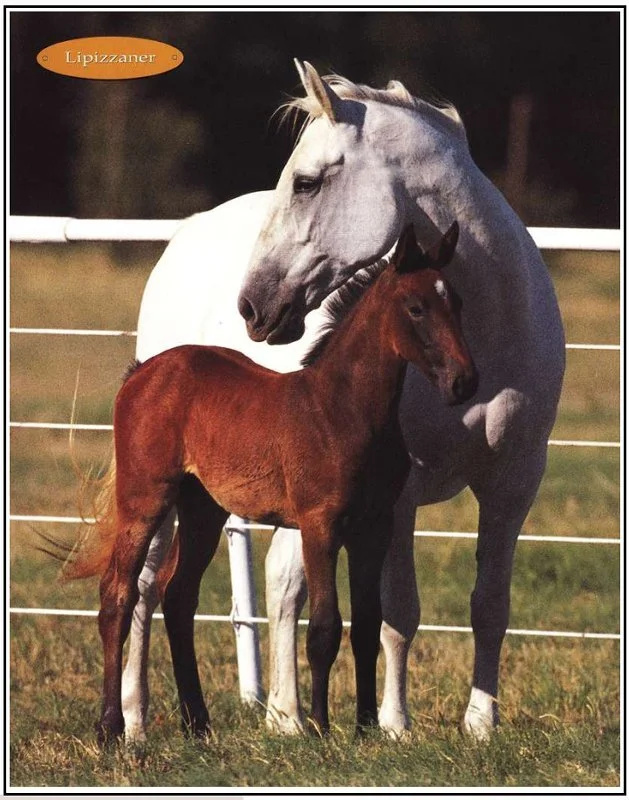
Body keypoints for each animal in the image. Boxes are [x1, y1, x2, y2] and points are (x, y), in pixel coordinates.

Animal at [68, 223, 477, 741]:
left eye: (458, 302)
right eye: (416, 307)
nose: (464, 382)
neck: (344, 410)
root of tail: (143, 372)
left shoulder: (374, 527)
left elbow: (367, 625)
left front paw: (365, 728)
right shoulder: (320, 526)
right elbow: (324, 626)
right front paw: (320, 727)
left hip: (203, 508)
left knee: (177, 595)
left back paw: (198, 723)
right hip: (146, 498)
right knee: (118, 595)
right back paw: (110, 727)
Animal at [121, 60, 564, 743]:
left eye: (306, 183)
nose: (252, 306)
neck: (489, 332)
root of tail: (184, 237)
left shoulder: (514, 483)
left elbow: (490, 605)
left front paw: (480, 725)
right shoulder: (398, 498)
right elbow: (398, 614)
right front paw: (394, 726)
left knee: (280, 582)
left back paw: (283, 715)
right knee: (145, 585)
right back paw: (137, 720)